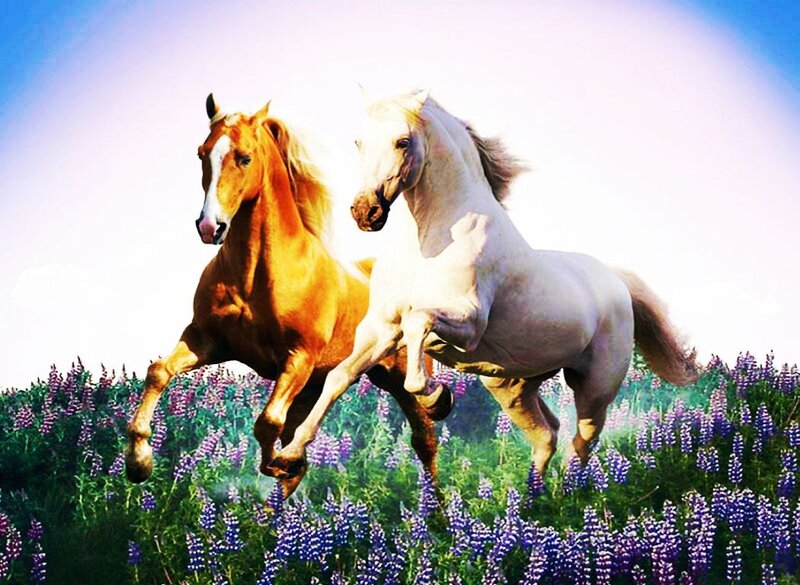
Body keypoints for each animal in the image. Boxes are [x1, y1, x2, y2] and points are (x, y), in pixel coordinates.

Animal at [124, 93, 452, 498]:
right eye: (202, 153)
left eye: (244, 157)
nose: (209, 226)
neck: (255, 277)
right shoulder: (206, 340)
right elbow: (158, 371)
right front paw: (138, 463)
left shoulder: (298, 357)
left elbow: (267, 423)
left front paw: (279, 462)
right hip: (314, 386)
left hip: (393, 375)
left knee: (425, 439)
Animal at [266, 89, 698, 480]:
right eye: (358, 141)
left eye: (402, 141)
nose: (365, 212)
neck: (428, 243)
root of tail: (616, 282)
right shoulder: (379, 329)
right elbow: (338, 378)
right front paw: (288, 456)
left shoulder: (468, 322)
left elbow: (418, 328)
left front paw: (438, 399)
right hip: (511, 386)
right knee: (547, 436)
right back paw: (532, 501)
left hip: (595, 388)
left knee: (581, 442)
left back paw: (568, 497)